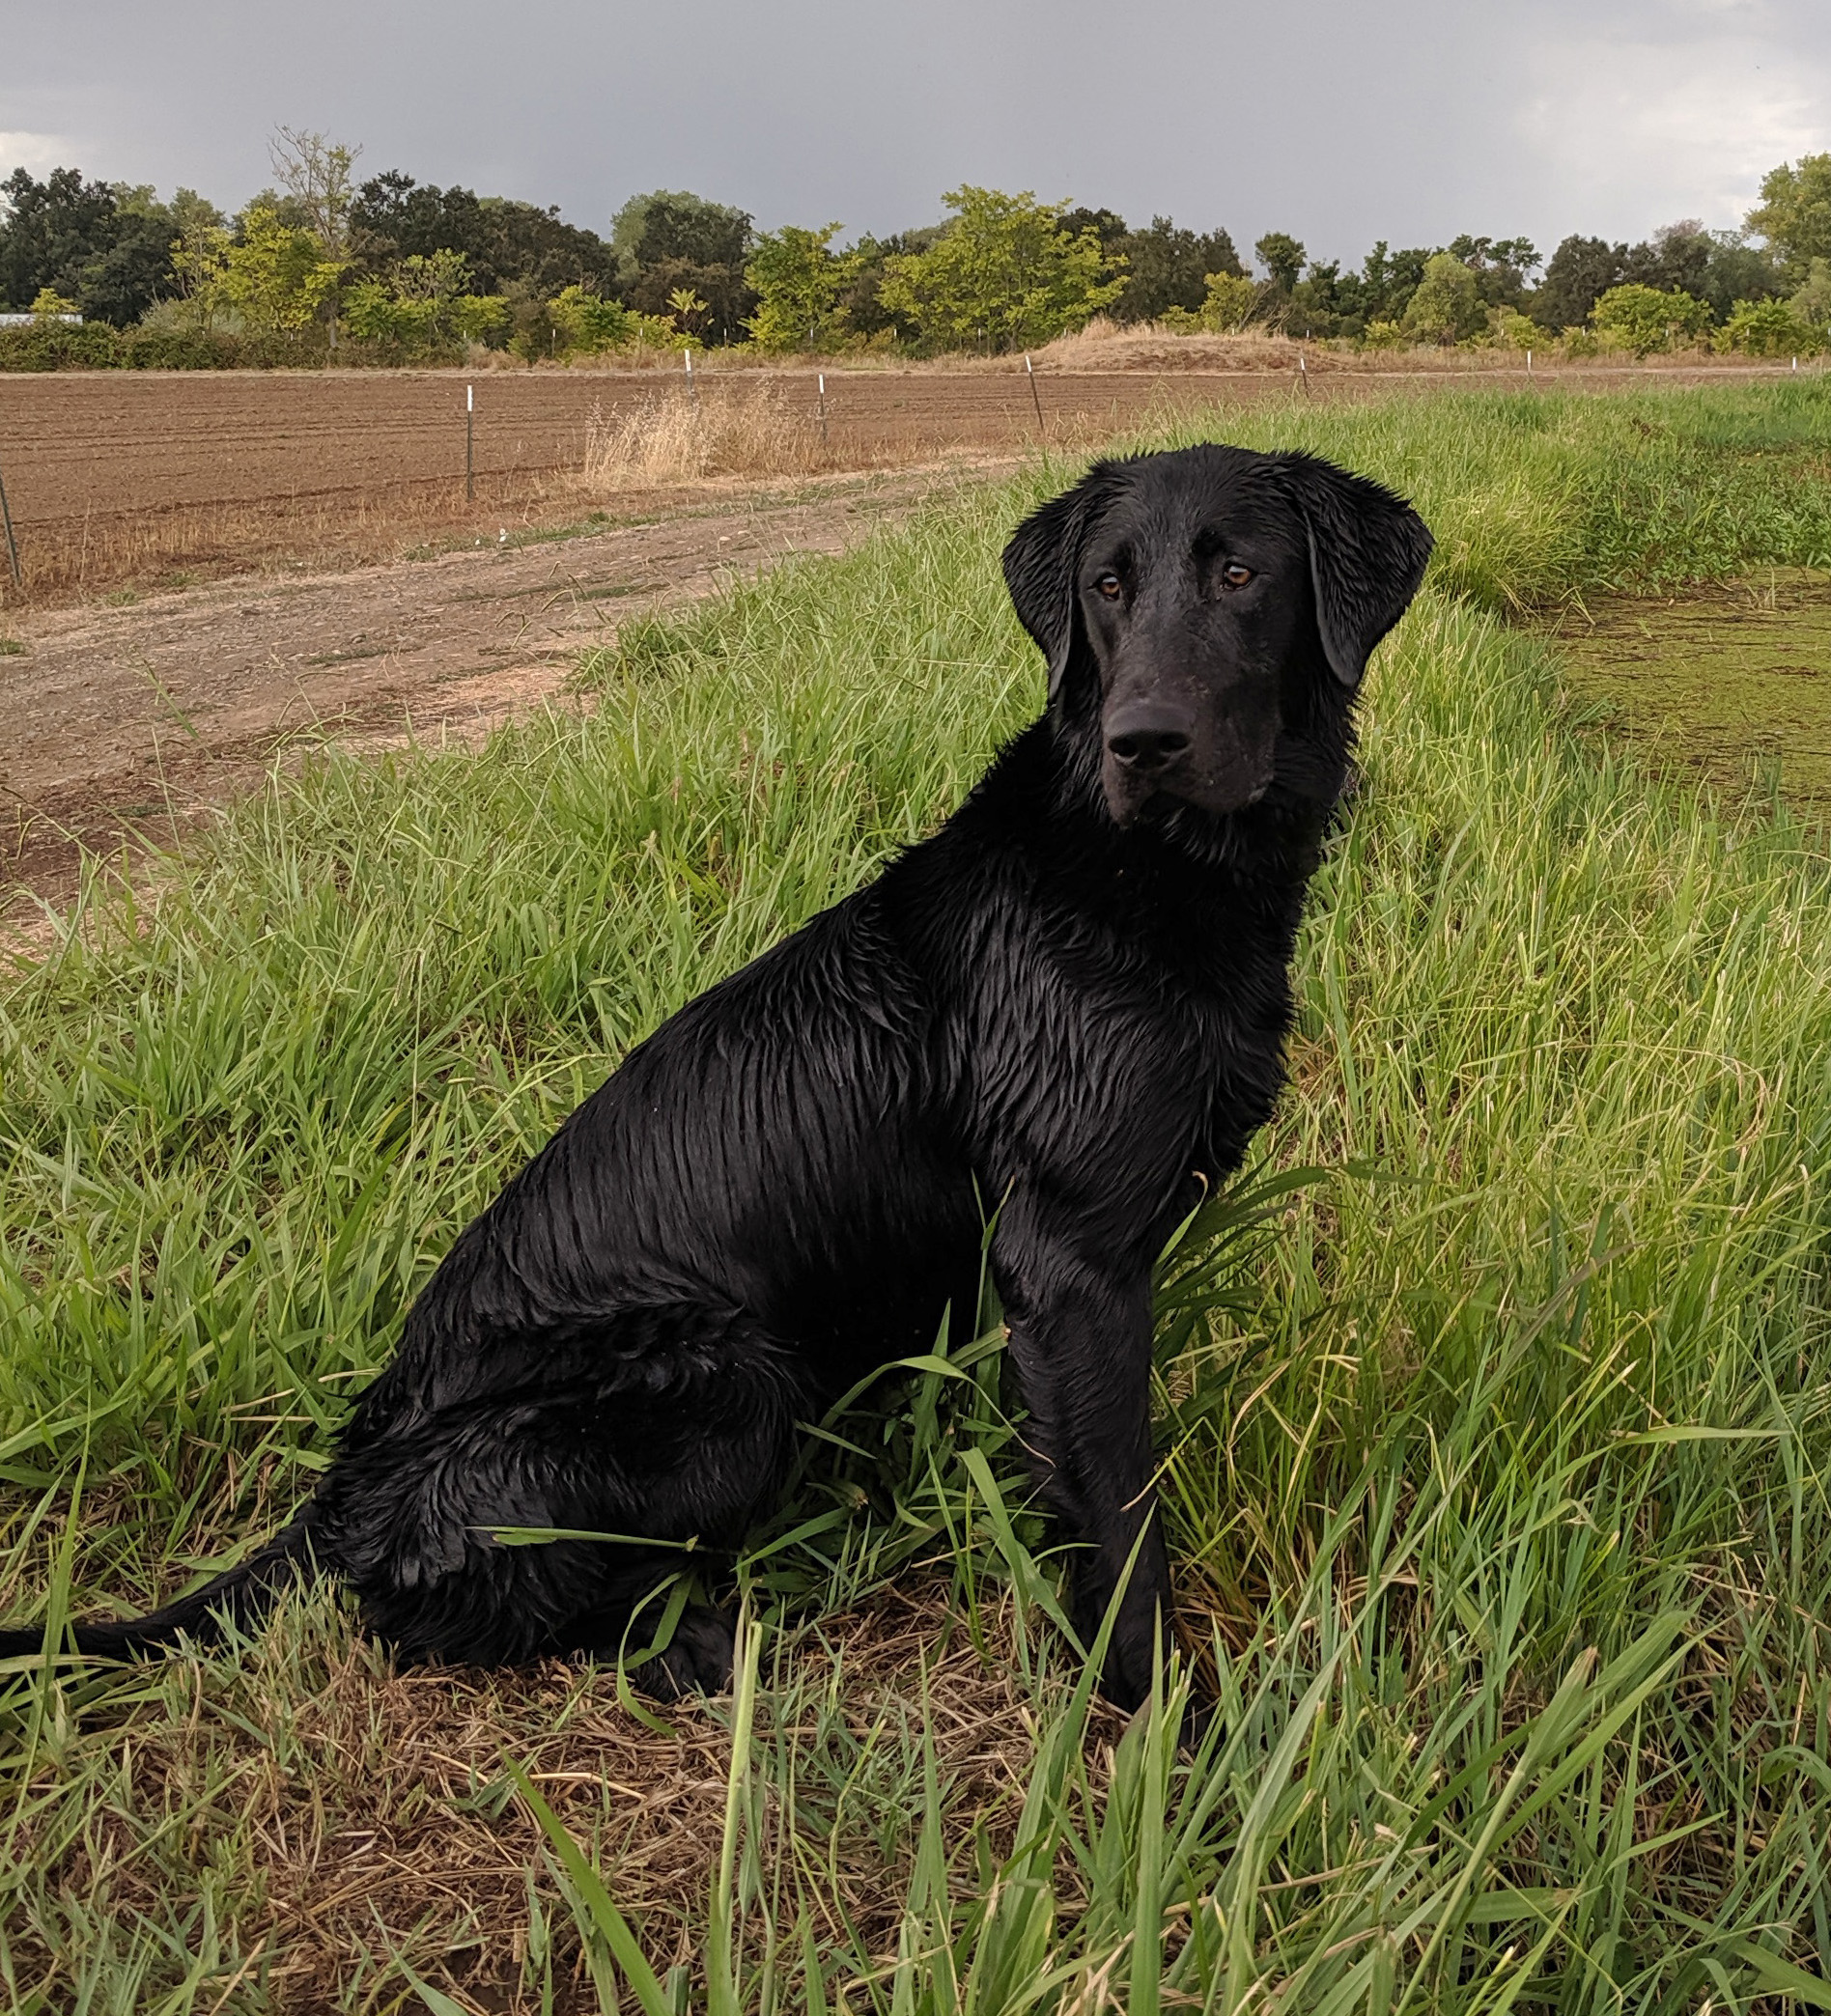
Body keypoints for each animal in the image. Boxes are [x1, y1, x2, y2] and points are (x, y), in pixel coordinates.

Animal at [0, 449, 1427, 1709]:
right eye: (1107, 587)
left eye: (1241, 573)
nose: (1143, 741)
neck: (1142, 871)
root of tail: (344, 1486)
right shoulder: (1067, 1262)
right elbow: (1119, 1518)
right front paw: (1161, 1721)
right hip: (734, 1376)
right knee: (449, 1612)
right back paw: (693, 1643)